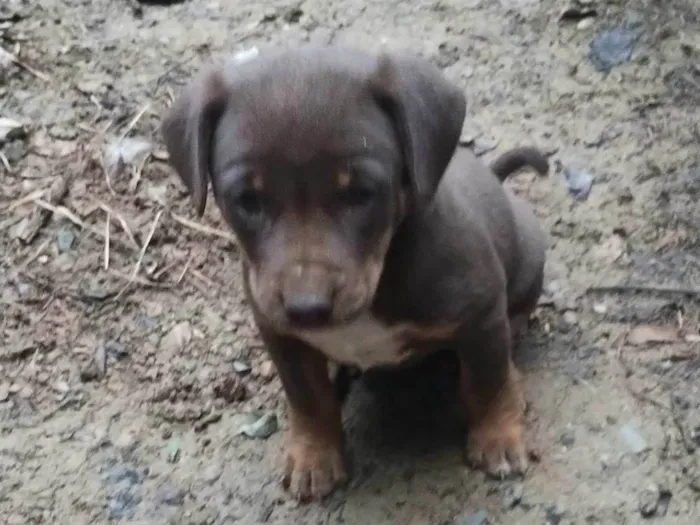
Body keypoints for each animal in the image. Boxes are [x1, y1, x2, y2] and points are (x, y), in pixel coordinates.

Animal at [161, 47, 548, 502]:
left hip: (529, 259)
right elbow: (308, 400)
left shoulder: (481, 312)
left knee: (512, 331)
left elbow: (487, 384)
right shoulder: (280, 334)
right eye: (247, 199)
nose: (307, 308)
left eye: (361, 193)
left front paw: (497, 438)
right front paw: (315, 457)